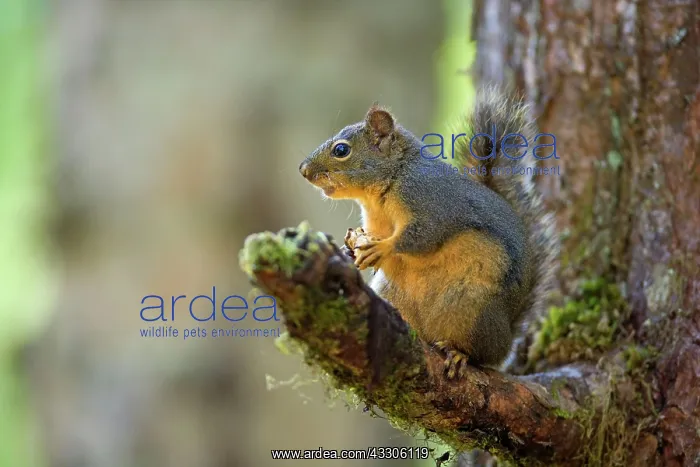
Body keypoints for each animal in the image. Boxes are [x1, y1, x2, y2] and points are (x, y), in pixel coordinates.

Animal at [299, 86, 557, 378]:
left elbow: (424, 236)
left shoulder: (431, 203)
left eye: (341, 150)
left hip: (471, 308)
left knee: (480, 355)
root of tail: (507, 337)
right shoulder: (377, 222)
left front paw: (382, 247)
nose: (303, 170)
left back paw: (460, 354)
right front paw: (349, 249)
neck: (390, 181)